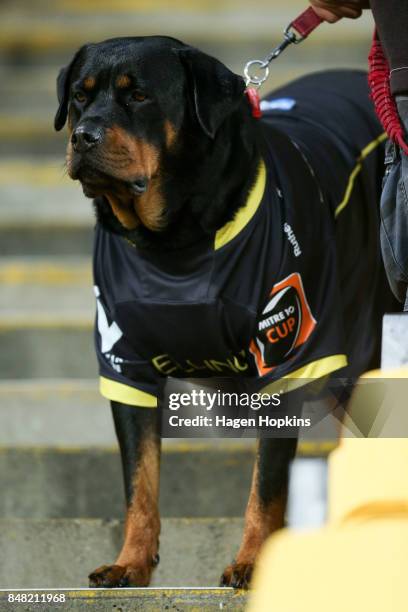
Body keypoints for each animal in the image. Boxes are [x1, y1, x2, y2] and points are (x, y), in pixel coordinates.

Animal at [55, 35, 392, 592]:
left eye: (139, 96)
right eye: (80, 97)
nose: (83, 136)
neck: (174, 247)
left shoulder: (285, 352)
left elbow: (267, 485)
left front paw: (252, 562)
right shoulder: (124, 363)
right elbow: (139, 481)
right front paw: (131, 563)